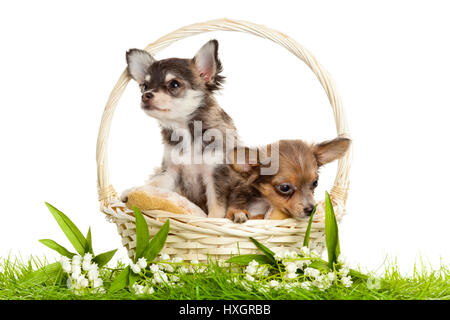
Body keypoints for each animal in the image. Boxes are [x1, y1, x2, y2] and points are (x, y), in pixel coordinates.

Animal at [119, 39, 239, 218]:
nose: (145, 95)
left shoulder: (215, 175)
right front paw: (134, 190)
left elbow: (216, 206)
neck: (184, 129)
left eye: (174, 84)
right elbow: (154, 184)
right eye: (144, 86)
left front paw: (212, 220)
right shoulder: (171, 172)